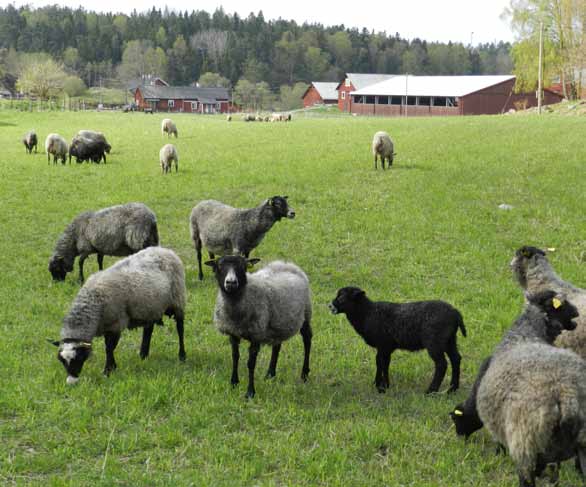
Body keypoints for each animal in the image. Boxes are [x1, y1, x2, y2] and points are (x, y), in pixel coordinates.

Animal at [52, 248, 186, 386]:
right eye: (62, 360)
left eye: (78, 357)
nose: (71, 382)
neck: (93, 301)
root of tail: (165, 250)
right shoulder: (108, 325)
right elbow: (109, 347)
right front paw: (112, 367)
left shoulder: (115, 323)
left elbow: (109, 347)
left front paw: (108, 370)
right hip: (150, 307)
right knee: (148, 330)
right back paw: (143, 355)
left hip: (177, 299)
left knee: (180, 328)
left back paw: (182, 356)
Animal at [206, 258, 312, 398]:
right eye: (219, 266)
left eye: (243, 266)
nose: (231, 282)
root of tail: (286, 264)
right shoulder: (233, 333)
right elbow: (235, 357)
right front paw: (234, 383)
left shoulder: (256, 334)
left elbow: (251, 364)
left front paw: (250, 392)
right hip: (278, 321)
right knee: (277, 346)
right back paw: (270, 374)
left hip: (306, 313)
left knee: (307, 339)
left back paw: (304, 374)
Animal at [328, 288, 466, 394]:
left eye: (342, 297)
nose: (330, 305)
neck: (367, 313)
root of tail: (456, 314)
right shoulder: (386, 347)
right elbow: (383, 363)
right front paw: (382, 384)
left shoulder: (383, 344)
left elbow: (381, 363)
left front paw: (381, 388)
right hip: (450, 339)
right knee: (456, 359)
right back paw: (452, 389)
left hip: (434, 341)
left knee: (442, 364)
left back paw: (431, 391)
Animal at [472, 292, 580, 486]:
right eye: (561, 304)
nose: (577, 311)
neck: (525, 332)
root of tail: (566, 394)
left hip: (525, 442)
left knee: (529, 476)